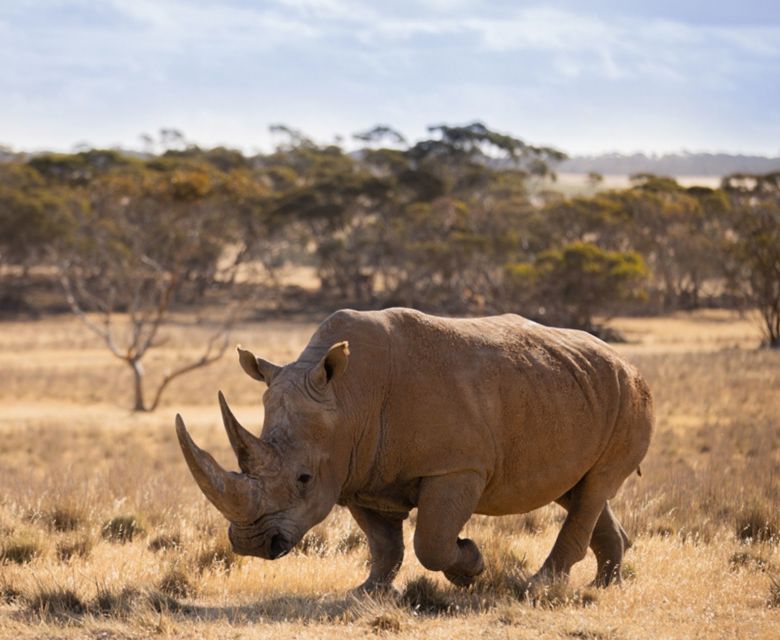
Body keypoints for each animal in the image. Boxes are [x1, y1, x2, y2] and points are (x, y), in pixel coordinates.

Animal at [175, 308, 653, 592]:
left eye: (303, 479)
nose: (253, 544)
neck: (348, 397)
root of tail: (624, 360)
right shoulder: (357, 473)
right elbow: (383, 543)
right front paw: (367, 592)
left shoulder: (456, 467)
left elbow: (432, 541)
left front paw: (471, 566)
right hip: (575, 389)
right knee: (578, 489)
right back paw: (604, 586)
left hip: (629, 396)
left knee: (595, 486)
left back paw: (538, 587)